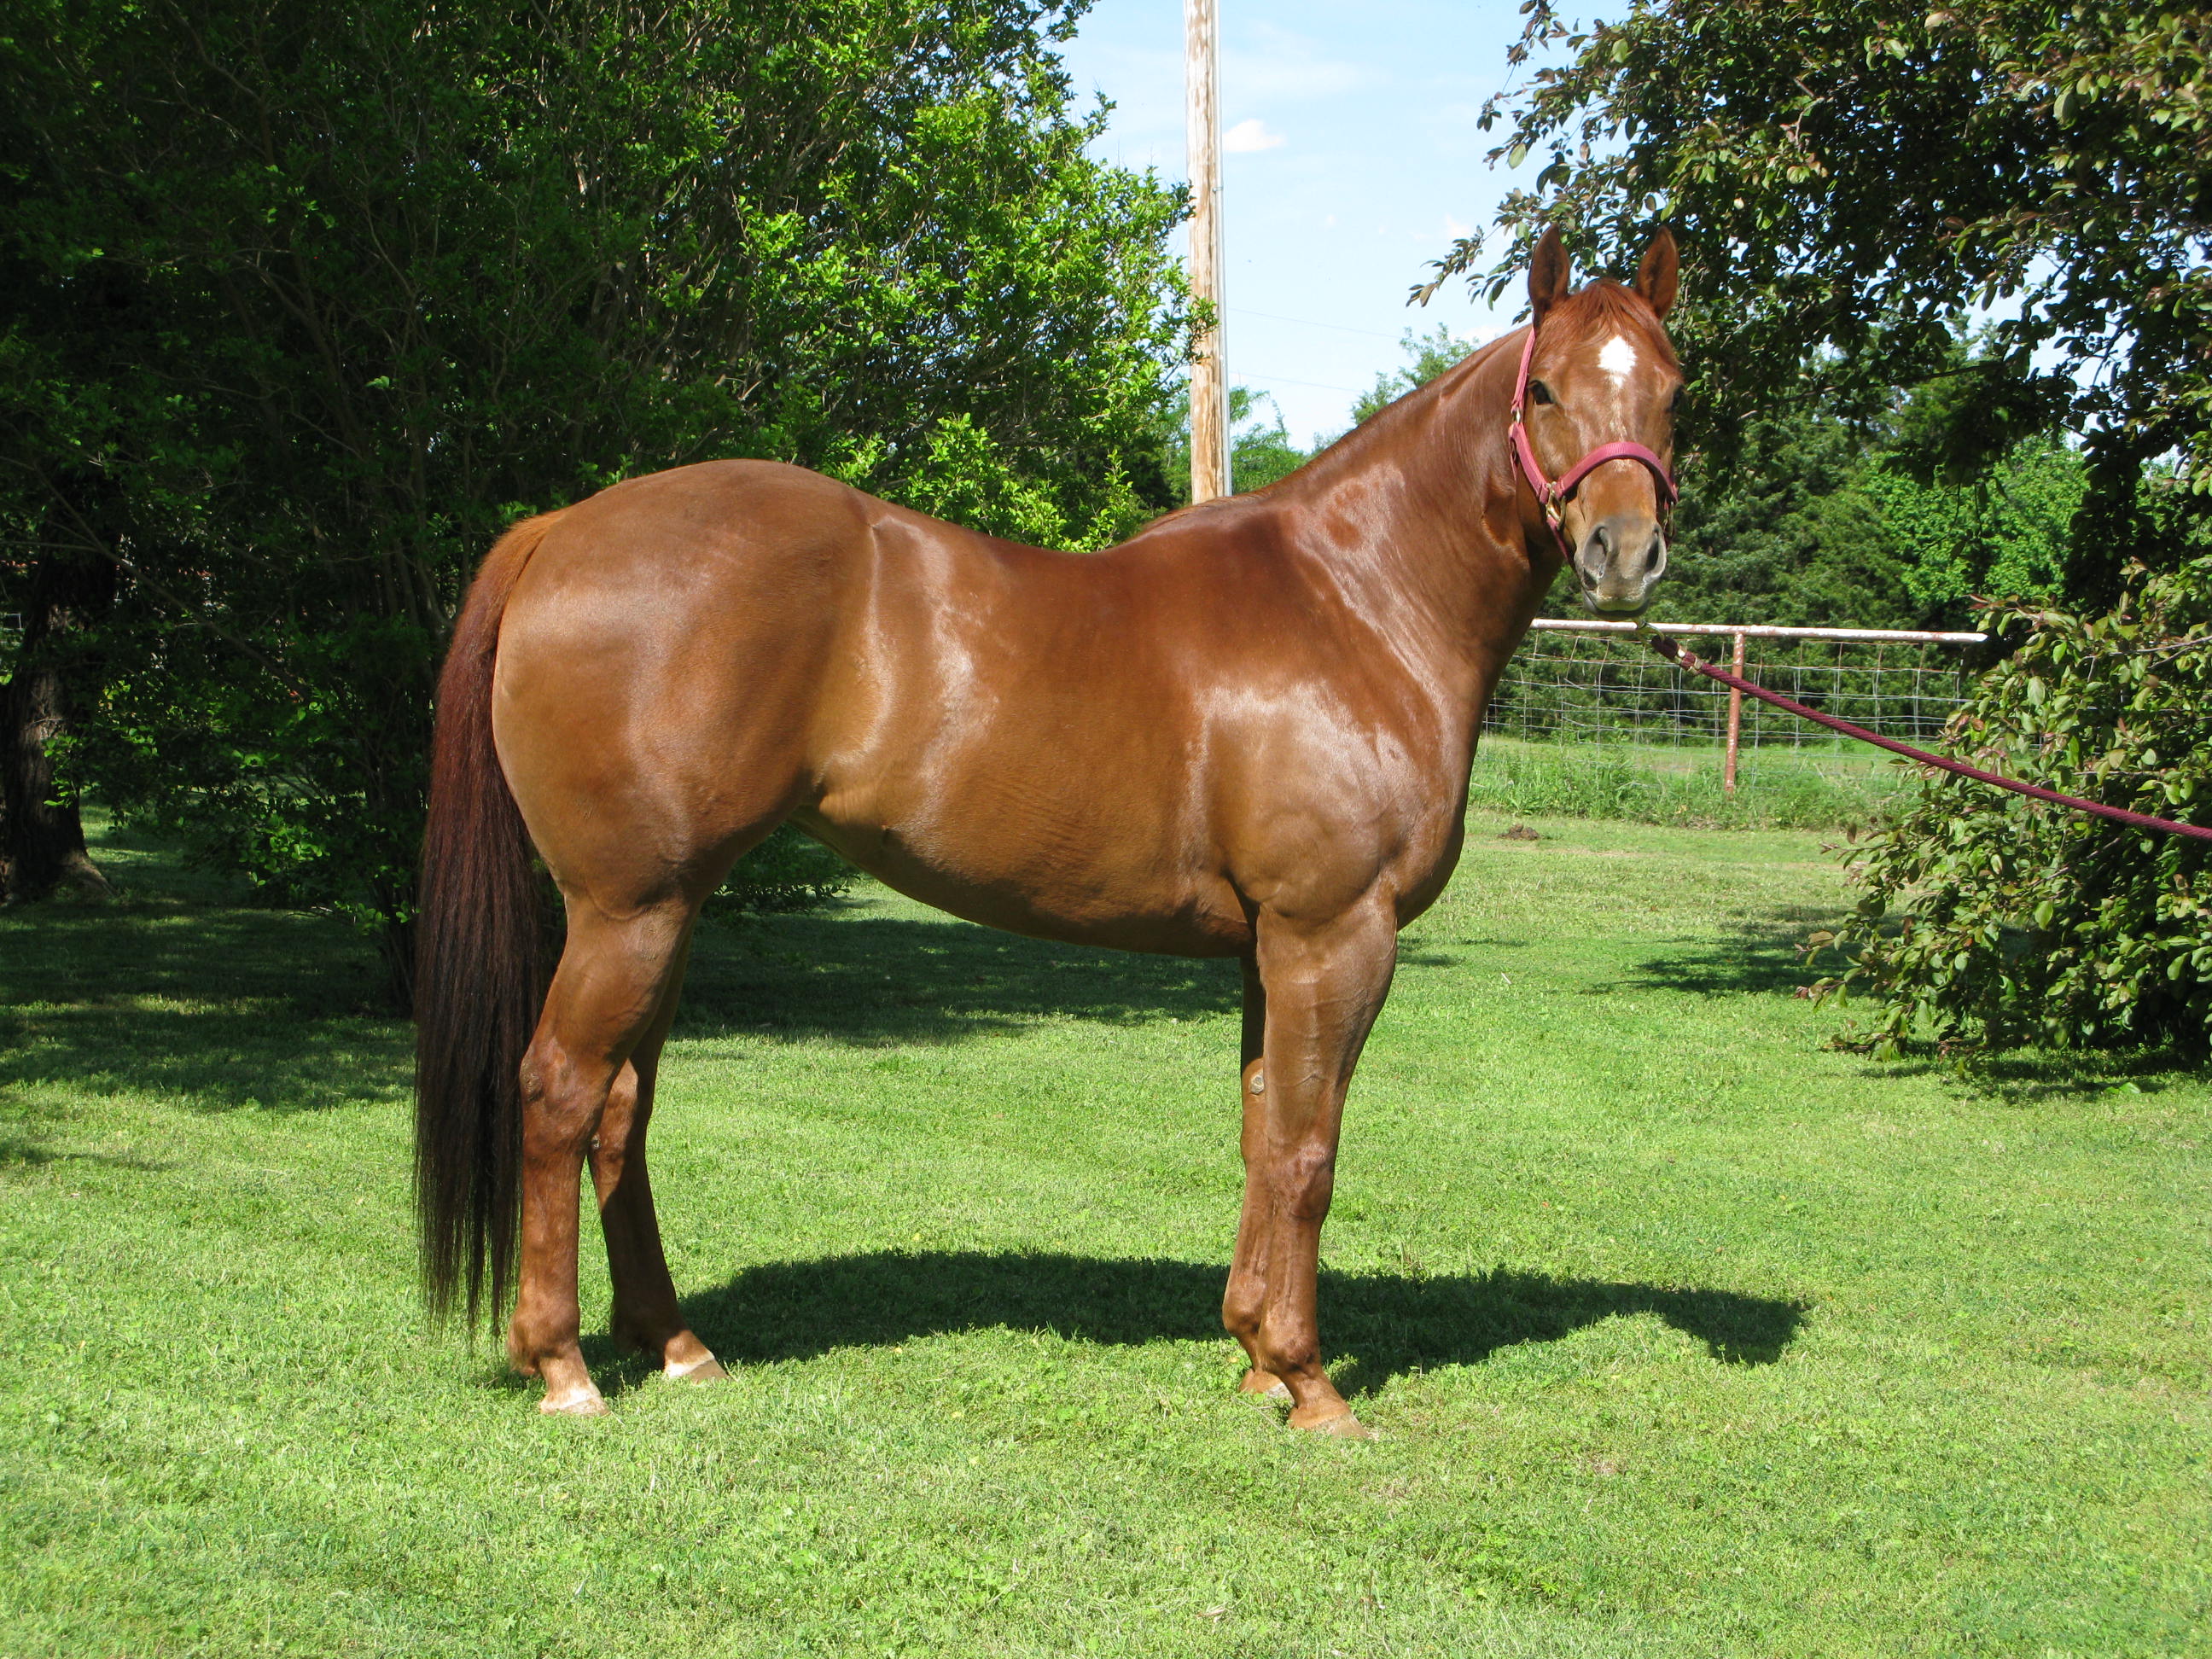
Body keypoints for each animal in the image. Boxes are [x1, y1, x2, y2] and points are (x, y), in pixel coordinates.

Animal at [414, 227, 1682, 1435]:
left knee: (622, 1109)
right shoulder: (1335, 937)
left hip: (668, 912)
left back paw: (676, 1345)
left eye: (1671, 389)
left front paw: (1253, 1357)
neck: (1354, 602)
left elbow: (1261, 1132)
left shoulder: (1271, 950)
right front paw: (1311, 1381)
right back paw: (563, 1366)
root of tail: (562, 530)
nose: (1625, 555)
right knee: (559, 1093)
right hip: (626, 911)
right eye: (1546, 390)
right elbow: (1310, 1153)